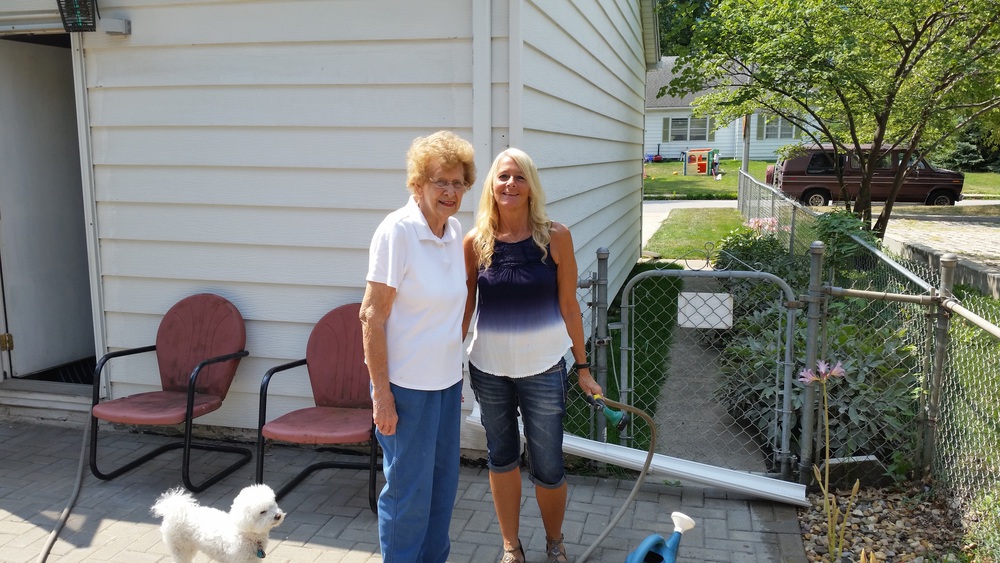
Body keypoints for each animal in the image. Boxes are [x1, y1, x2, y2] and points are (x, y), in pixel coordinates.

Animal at [152, 484, 286, 563]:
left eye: (273, 505)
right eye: (262, 512)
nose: (278, 516)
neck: (245, 533)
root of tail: (175, 509)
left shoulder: (253, 560)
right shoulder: (239, 559)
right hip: (180, 548)